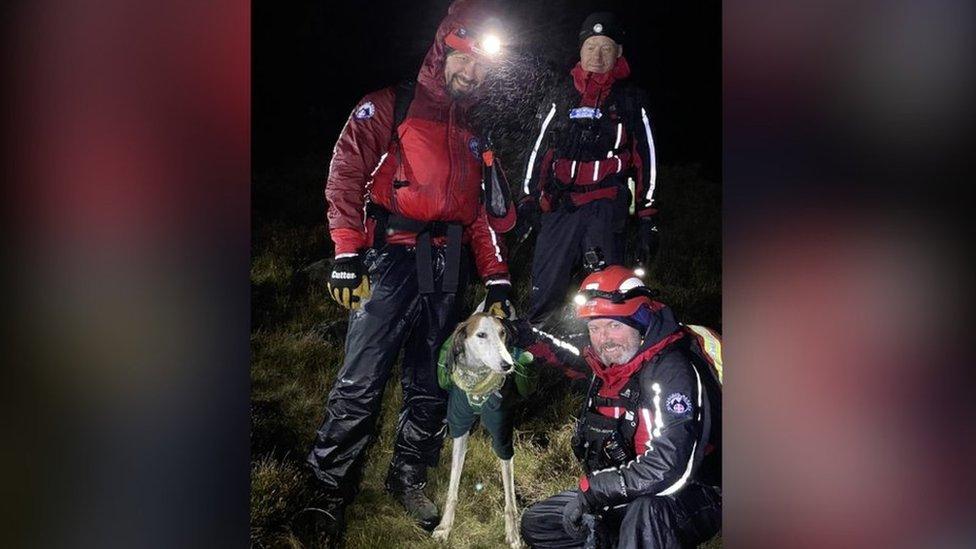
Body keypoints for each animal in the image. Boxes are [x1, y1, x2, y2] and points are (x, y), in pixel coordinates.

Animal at [430, 312, 528, 548]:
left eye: (502, 334)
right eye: (481, 335)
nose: (507, 365)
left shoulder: (503, 438)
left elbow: (510, 500)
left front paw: (513, 535)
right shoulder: (459, 428)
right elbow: (452, 489)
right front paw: (445, 527)